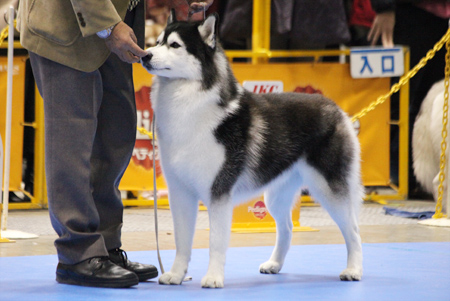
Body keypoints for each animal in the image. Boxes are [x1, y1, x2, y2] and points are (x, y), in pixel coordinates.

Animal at [142, 12, 364, 288]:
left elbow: (216, 242)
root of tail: (335, 108)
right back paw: (274, 264)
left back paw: (353, 269)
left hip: (330, 190)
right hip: (276, 196)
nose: (144, 55)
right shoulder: (180, 193)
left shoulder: (219, 193)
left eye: (174, 45)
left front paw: (213, 277)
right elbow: (182, 242)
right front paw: (175, 274)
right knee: (287, 228)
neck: (188, 104)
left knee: (353, 231)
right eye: (157, 42)